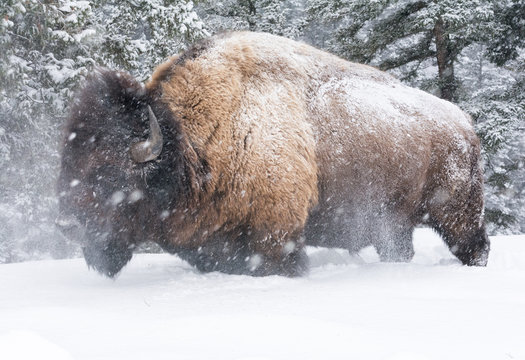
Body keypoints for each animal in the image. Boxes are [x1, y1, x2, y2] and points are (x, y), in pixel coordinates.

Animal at [55, 31, 490, 278]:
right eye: (67, 163)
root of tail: (464, 124)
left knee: (473, 245)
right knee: (399, 249)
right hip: (394, 223)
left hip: (456, 213)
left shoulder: (277, 234)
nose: (65, 225)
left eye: (108, 174)